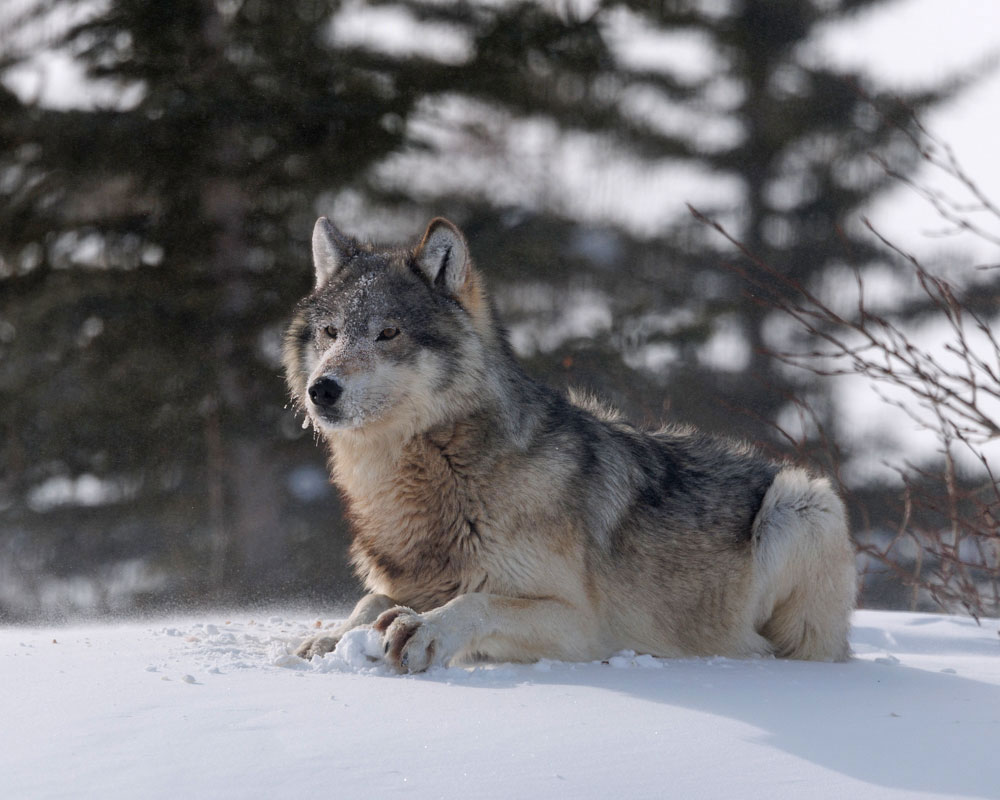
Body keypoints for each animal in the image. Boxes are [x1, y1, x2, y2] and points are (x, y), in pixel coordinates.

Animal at [284, 216, 856, 672]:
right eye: (331, 332)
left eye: (388, 333)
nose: (322, 390)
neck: (442, 473)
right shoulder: (410, 580)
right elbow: (370, 598)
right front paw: (331, 639)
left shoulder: (581, 627)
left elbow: (476, 602)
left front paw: (424, 630)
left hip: (804, 504)